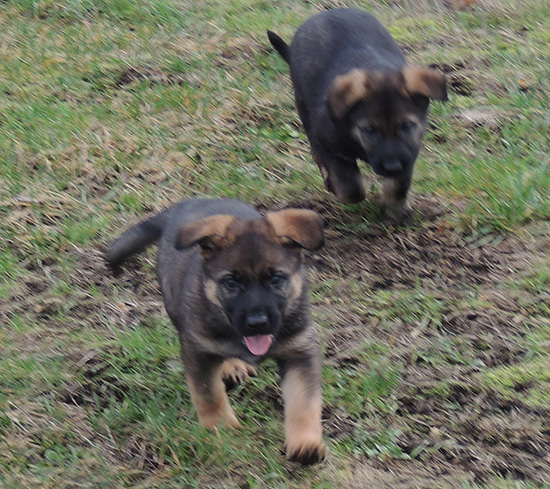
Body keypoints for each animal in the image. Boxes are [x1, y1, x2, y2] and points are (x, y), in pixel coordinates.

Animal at [105, 197, 326, 462]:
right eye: (231, 282)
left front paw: (305, 443)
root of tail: (188, 202)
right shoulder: (199, 350)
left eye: (275, 279)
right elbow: (209, 395)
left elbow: (304, 400)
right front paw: (221, 428)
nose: (257, 323)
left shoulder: (299, 351)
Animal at [270, 7, 450, 220]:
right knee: (316, 153)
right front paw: (344, 189)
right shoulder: (327, 144)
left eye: (406, 126)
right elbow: (350, 186)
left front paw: (396, 210)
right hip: (303, 107)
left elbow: (399, 184)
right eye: (369, 130)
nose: (392, 167)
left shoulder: (409, 152)